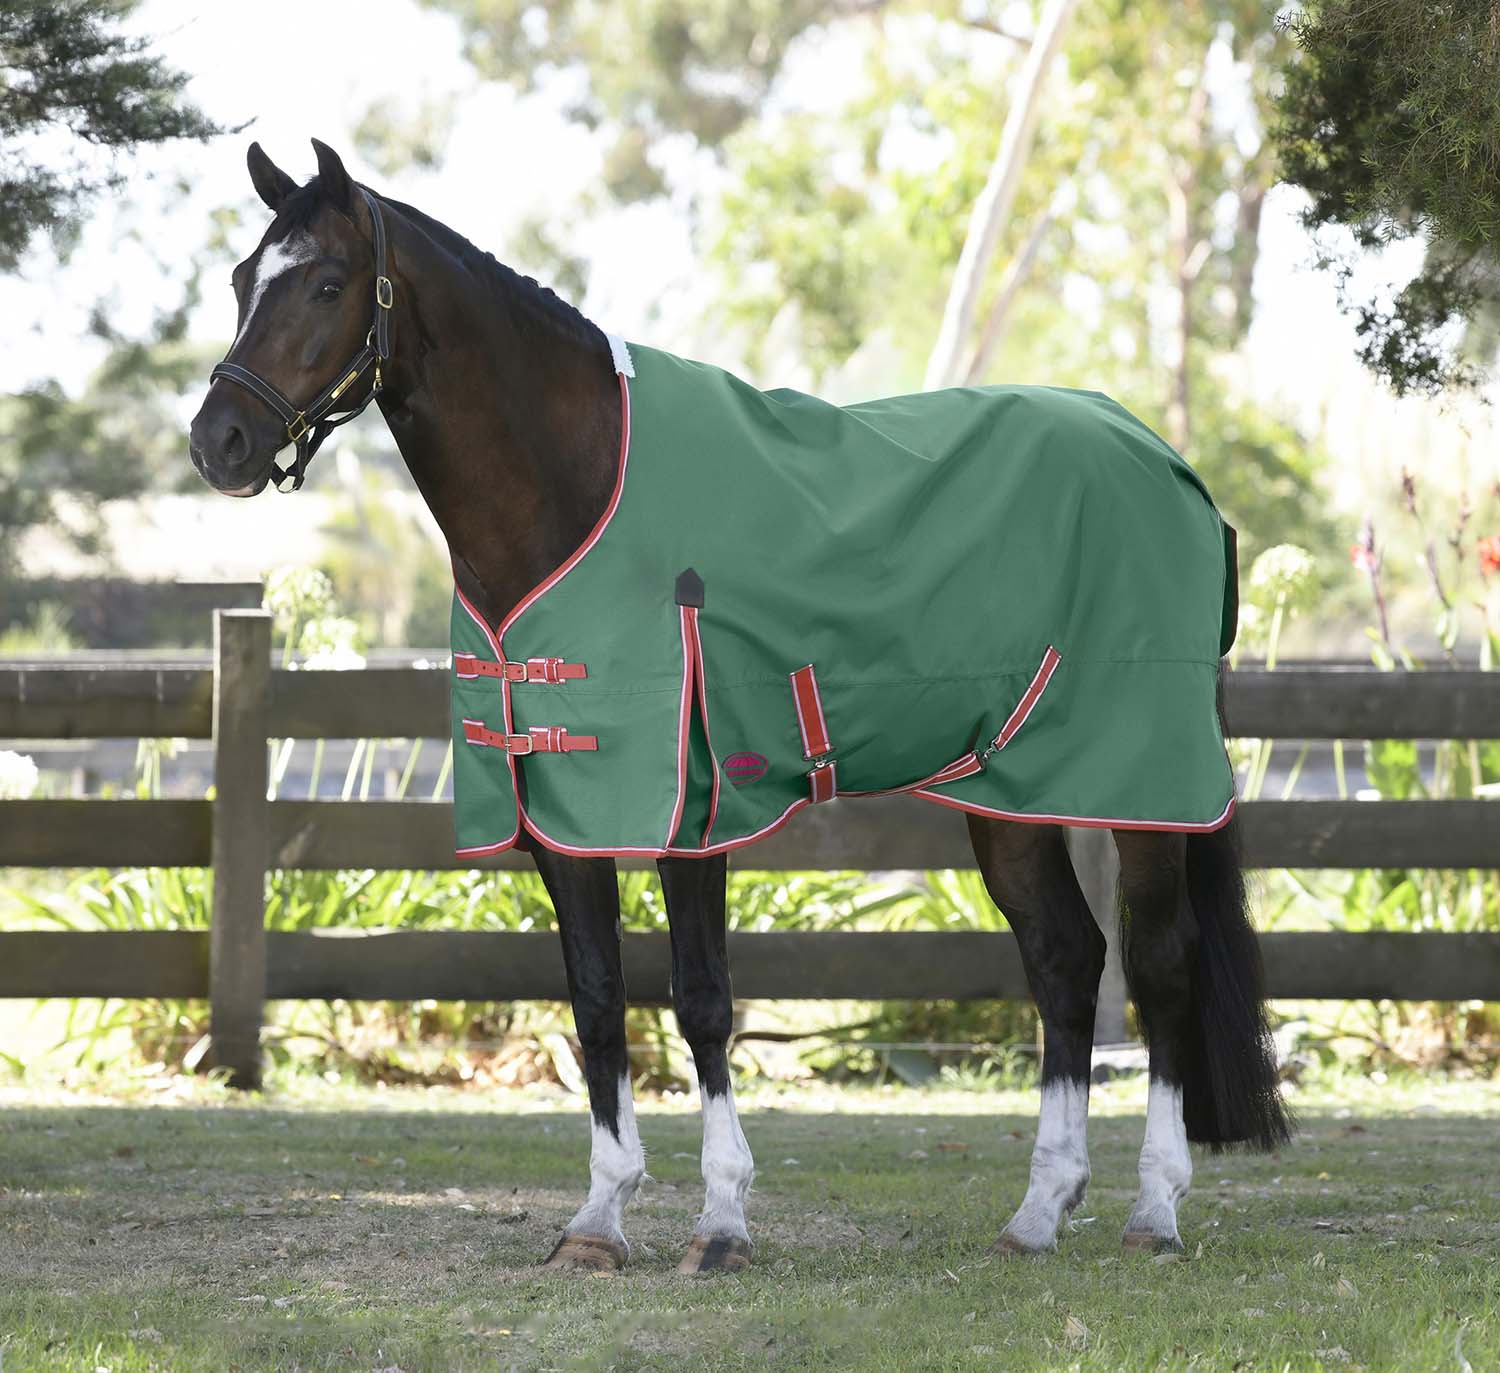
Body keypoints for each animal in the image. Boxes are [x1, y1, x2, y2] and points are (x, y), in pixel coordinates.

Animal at [188, 140, 1290, 1274]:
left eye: (327, 283)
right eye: (240, 280)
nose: (218, 440)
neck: (579, 496)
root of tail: (1167, 463)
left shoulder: (691, 811)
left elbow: (702, 1002)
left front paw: (719, 1220)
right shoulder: (562, 815)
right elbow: (596, 998)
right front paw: (599, 1218)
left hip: (1141, 785)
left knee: (1159, 967)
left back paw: (1153, 1208)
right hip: (1010, 790)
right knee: (1066, 962)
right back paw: (1038, 1210)